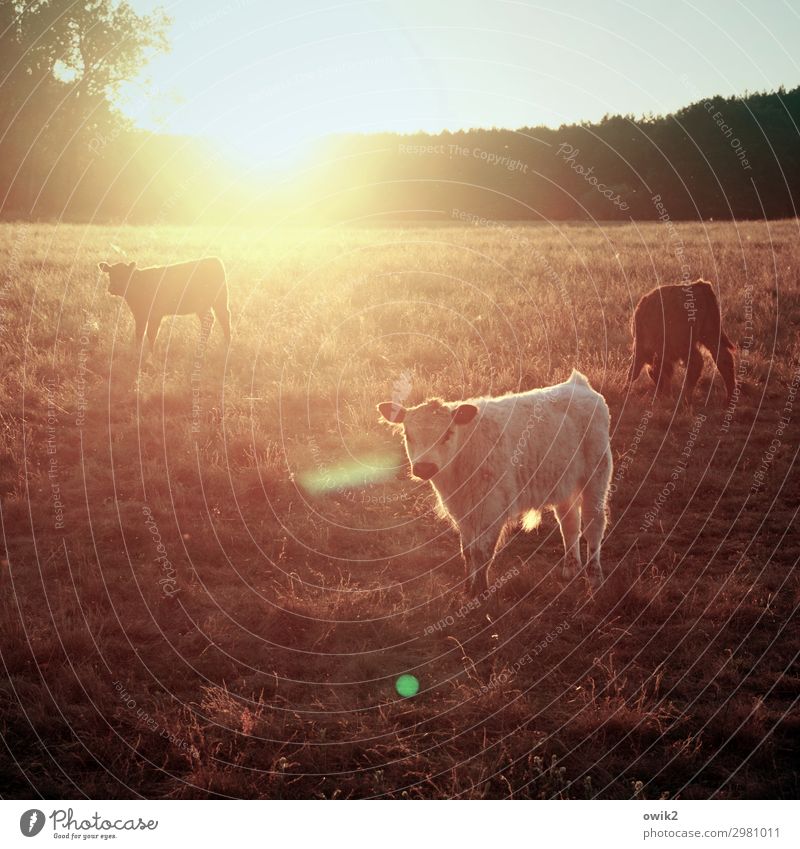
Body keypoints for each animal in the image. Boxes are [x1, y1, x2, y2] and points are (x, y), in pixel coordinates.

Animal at [99, 255, 231, 362]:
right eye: (110, 274)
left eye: (125, 275)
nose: (112, 288)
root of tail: (214, 259)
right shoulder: (140, 314)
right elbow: (139, 333)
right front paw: (138, 352)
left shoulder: (155, 314)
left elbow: (151, 334)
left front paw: (150, 354)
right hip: (203, 306)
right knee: (209, 322)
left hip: (220, 301)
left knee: (224, 319)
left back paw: (226, 345)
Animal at [376, 368, 612, 592]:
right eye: (408, 435)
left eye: (447, 434)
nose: (424, 467)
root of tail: (578, 384)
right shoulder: (462, 512)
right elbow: (468, 551)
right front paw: (467, 589)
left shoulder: (491, 508)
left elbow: (482, 551)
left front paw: (480, 592)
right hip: (563, 484)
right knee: (570, 524)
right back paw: (570, 570)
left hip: (596, 478)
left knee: (594, 525)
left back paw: (595, 579)